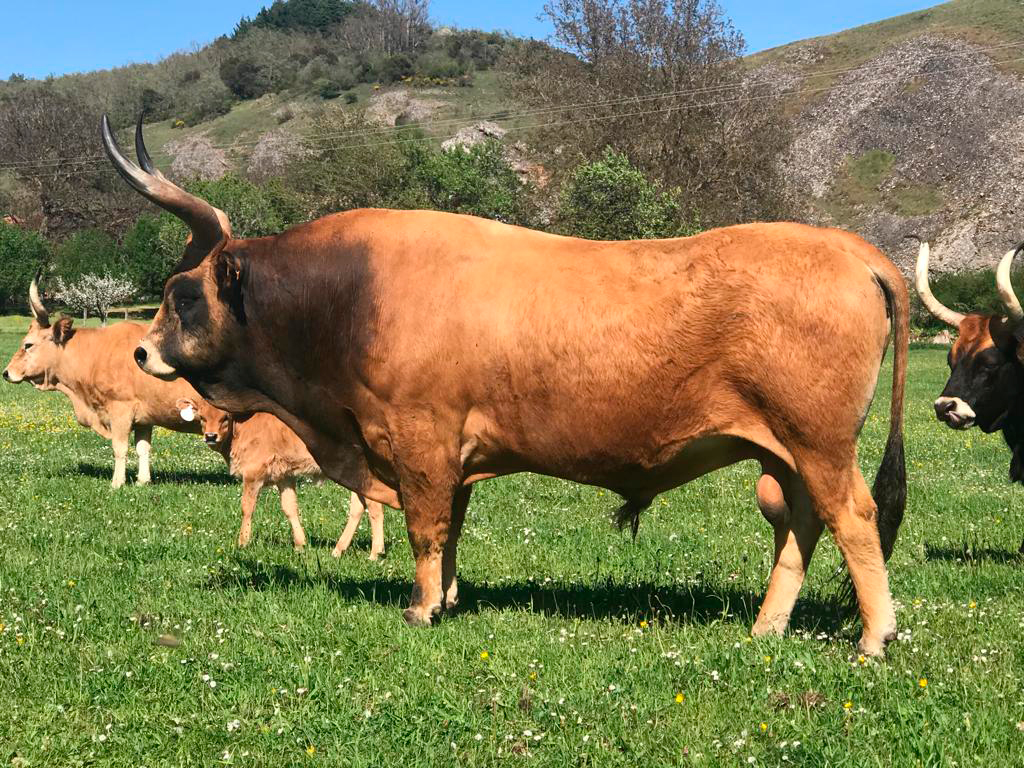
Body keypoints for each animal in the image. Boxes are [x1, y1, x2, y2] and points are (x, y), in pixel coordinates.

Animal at [2, 277, 203, 487]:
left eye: (28, 344)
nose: (6, 373)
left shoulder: (121, 409)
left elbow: (120, 448)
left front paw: (117, 483)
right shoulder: (145, 416)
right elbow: (143, 448)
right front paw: (142, 481)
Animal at [175, 396, 386, 558]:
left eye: (225, 417)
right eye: (202, 417)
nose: (210, 436)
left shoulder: (252, 473)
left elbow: (247, 508)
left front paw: (242, 543)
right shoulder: (284, 475)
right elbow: (289, 507)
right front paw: (300, 545)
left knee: (375, 507)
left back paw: (375, 553)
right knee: (358, 507)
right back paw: (338, 550)